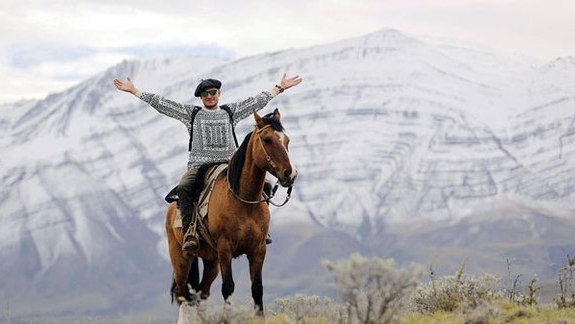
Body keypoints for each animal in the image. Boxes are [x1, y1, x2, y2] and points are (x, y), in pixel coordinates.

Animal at [163, 108, 294, 314]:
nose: (290, 174)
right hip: (181, 257)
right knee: (182, 295)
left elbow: (257, 289)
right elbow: (228, 288)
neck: (244, 201)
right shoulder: (225, 248)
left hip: (211, 261)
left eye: (287, 140)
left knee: (201, 293)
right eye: (267, 140)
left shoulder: (258, 248)